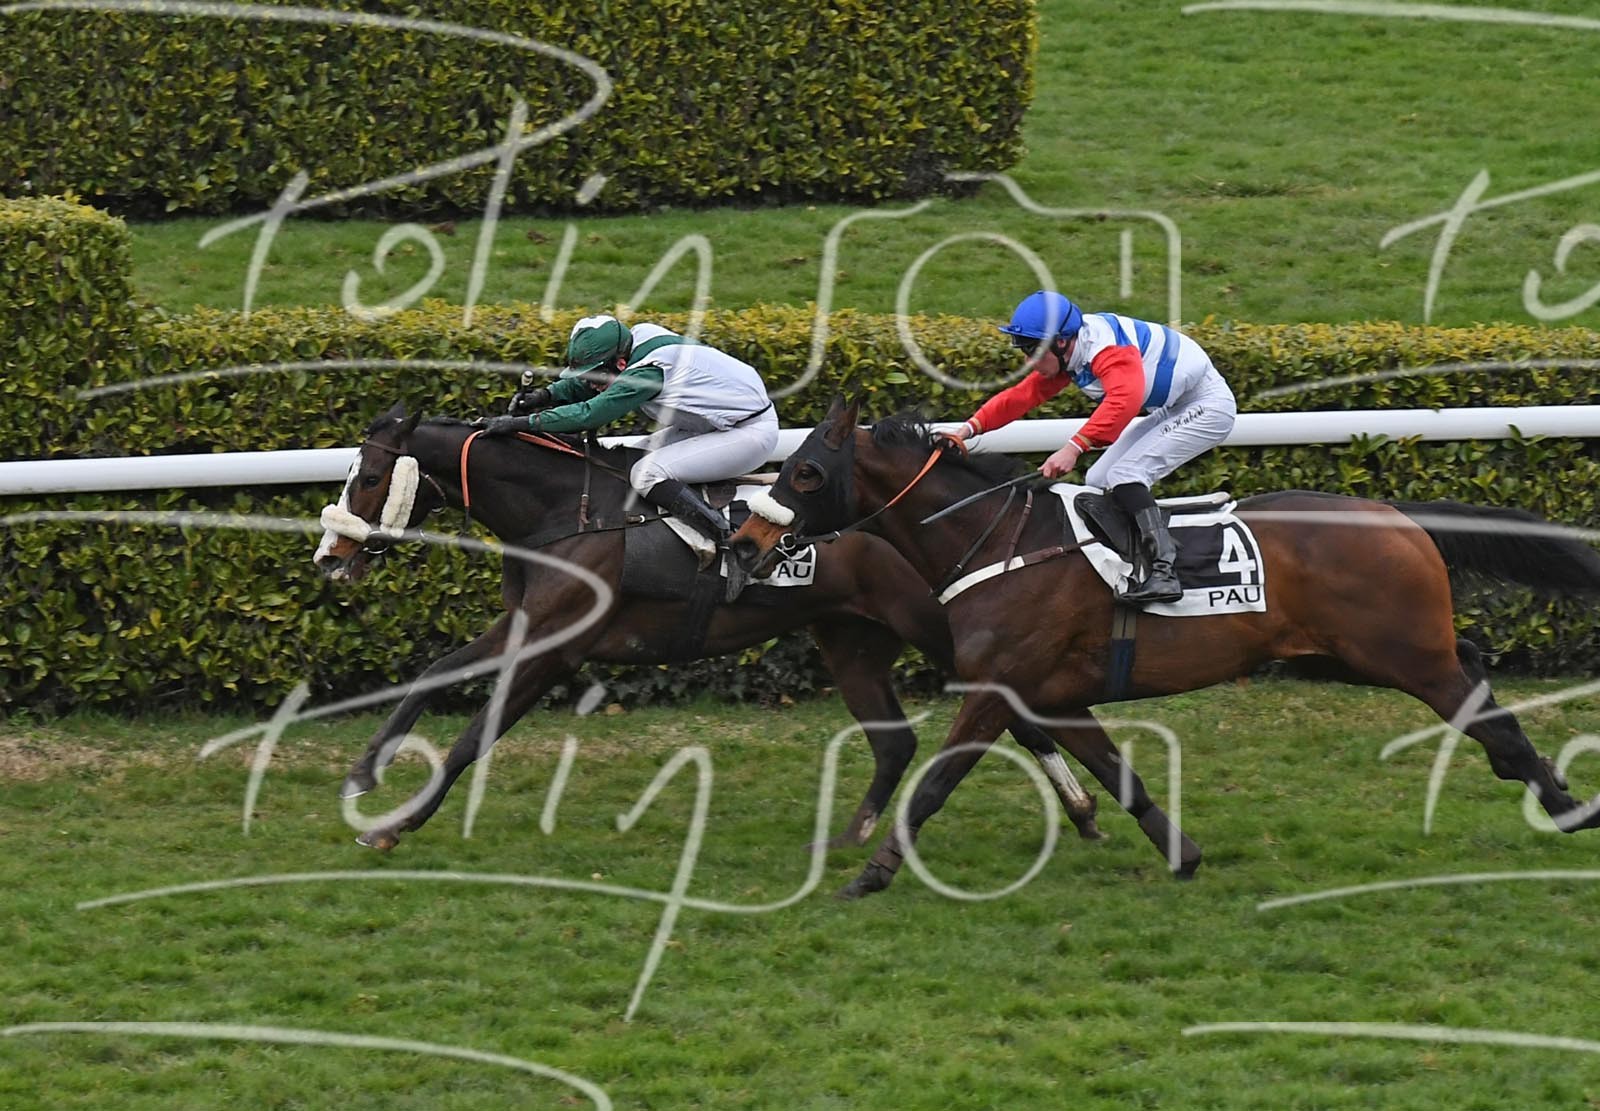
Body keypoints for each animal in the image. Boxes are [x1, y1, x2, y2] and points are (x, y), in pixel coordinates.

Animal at [312, 403, 1199, 859]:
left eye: (367, 474)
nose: (329, 558)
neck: (567, 508)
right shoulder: (523, 621)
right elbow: (435, 670)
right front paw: (363, 774)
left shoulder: (552, 643)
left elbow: (474, 735)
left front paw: (394, 824)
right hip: (849, 637)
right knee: (898, 742)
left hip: (939, 629)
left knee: (1017, 714)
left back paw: (1081, 807)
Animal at [729, 397, 1600, 898]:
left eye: (806, 473)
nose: (741, 542)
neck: (997, 541)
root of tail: (1396, 512)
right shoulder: (1053, 694)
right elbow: (1121, 775)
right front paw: (1181, 853)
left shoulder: (996, 689)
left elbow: (935, 784)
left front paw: (871, 874)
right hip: (1349, 656)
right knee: (1476, 672)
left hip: (1401, 654)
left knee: (1483, 708)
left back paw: (1564, 802)